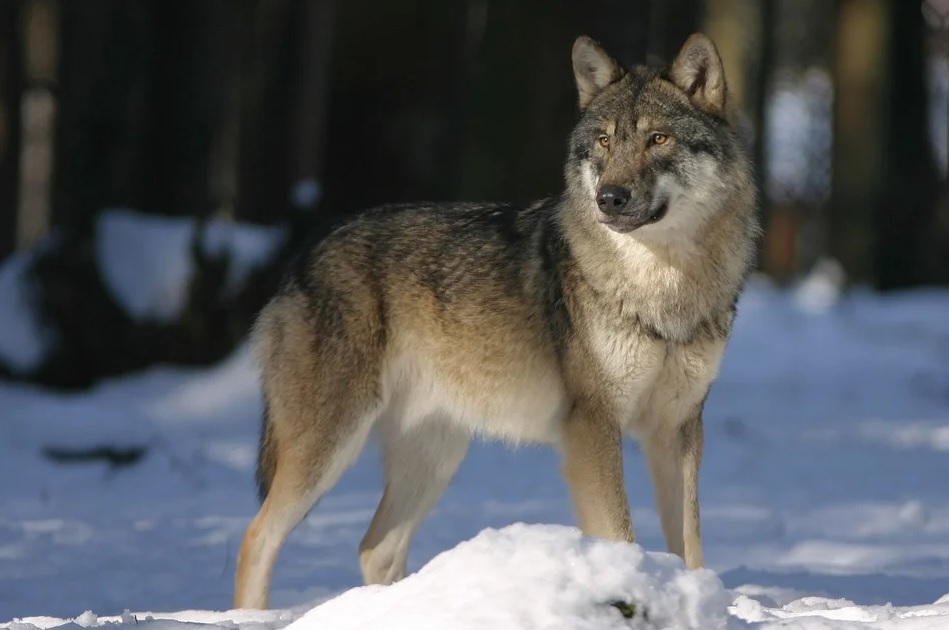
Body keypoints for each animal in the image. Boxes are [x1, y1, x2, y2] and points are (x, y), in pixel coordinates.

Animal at [233, 32, 760, 608]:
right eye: (603, 141)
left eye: (658, 138)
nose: (609, 198)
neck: (662, 288)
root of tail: (304, 254)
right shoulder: (593, 426)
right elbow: (621, 533)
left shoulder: (678, 429)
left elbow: (690, 546)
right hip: (330, 444)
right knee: (257, 535)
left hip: (435, 456)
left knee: (374, 547)